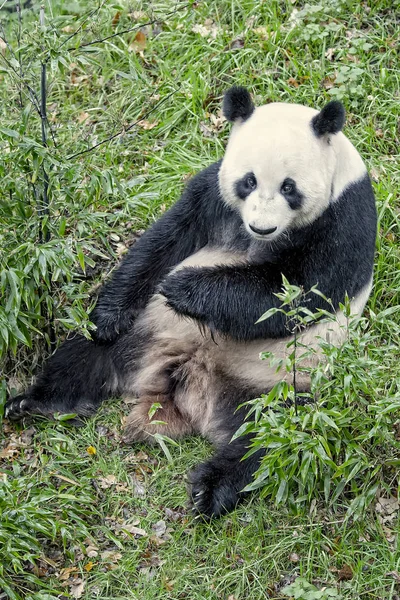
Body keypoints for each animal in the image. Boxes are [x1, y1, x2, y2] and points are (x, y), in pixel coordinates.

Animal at [4, 86, 376, 516]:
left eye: (289, 187)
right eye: (248, 181)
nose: (261, 227)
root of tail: (187, 386)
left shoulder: (345, 216)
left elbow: (299, 292)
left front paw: (185, 289)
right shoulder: (213, 193)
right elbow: (164, 241)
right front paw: (116, 311)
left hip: (280, 384)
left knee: (272, 439)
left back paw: (211, 487)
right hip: (144, 330)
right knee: (83, 350)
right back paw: (36, 402)